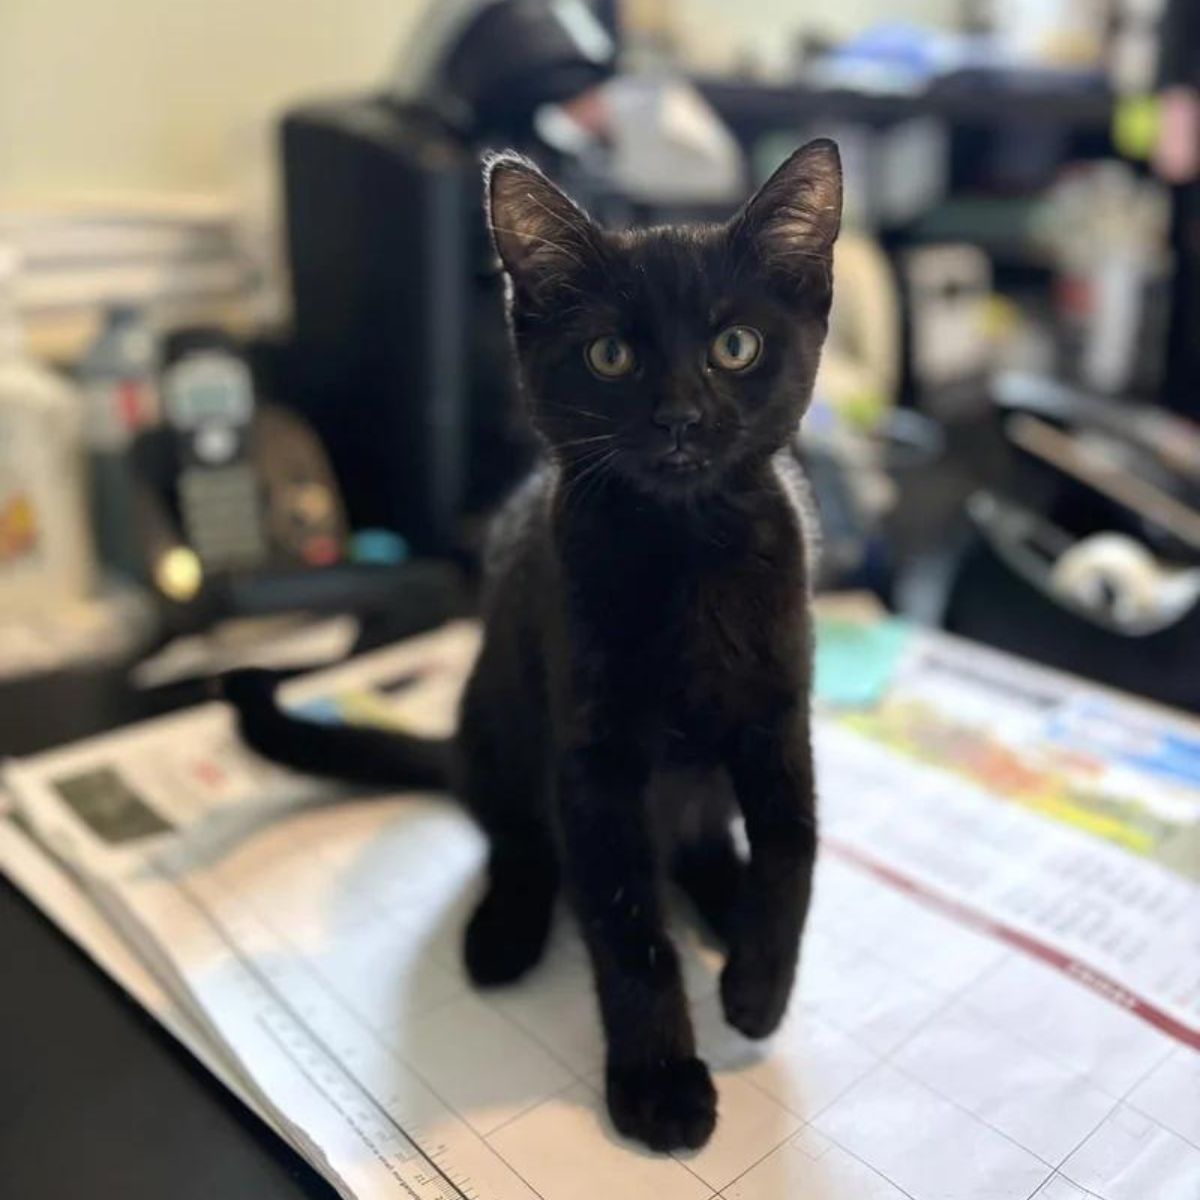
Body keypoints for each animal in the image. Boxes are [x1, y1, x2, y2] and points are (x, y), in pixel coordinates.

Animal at [226, 142, 844, 1152]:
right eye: (610, 355)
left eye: (735, 346)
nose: (679, 417)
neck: (688, 548)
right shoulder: (590, 763)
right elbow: (626, 926)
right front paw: (658, 1083)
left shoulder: (779, 717)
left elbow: (794, 847)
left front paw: (758, 989)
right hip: (496, 726)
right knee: (518, 844)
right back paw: (505, 931)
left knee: (703, 838)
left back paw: (723, 899)